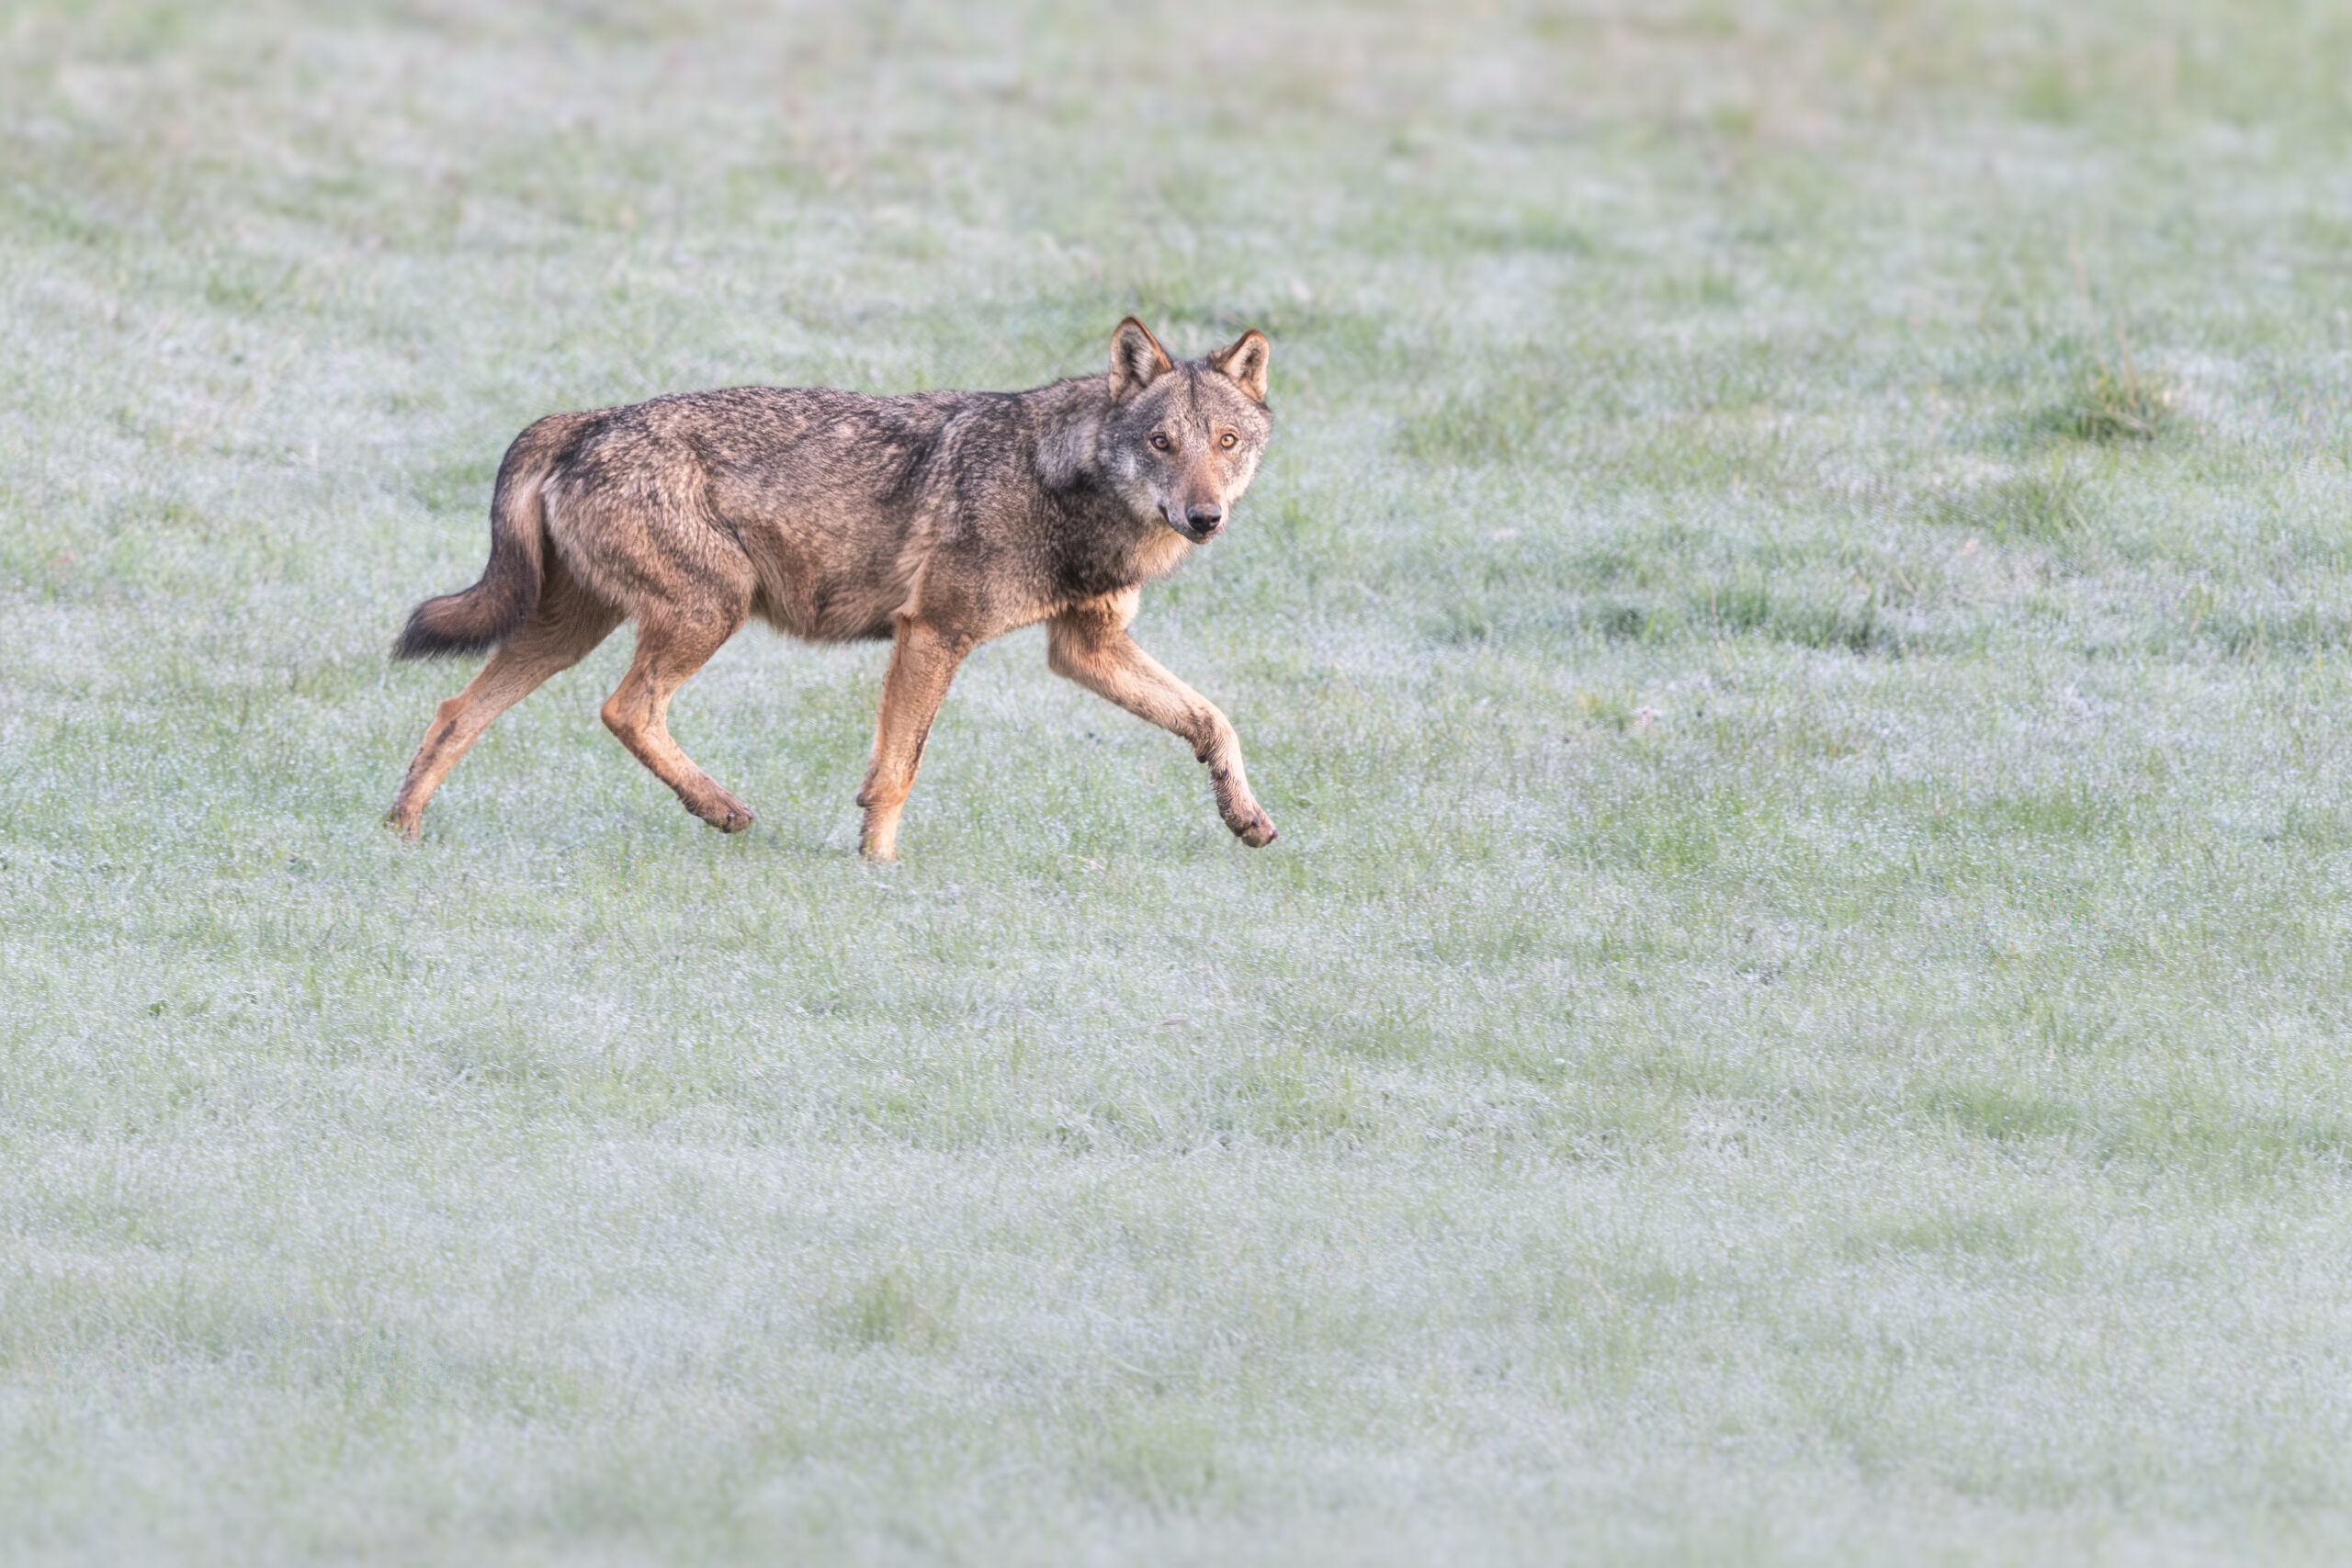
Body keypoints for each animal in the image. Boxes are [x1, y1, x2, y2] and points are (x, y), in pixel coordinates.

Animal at [386, 318, 1278, 860]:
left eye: (1226, 442)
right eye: (1161, 443)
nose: (1204, 517)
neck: (1062, 485)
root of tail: (589, 419)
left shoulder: (1086, 648)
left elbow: (1214, 719)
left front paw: (1245, 816)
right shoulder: (934, 634)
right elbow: (896, 773)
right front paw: (878, 872)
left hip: (573, 630)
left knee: (456, 711)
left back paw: (399, 833)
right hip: (708, 612)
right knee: (623, 709)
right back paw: (722, 808)